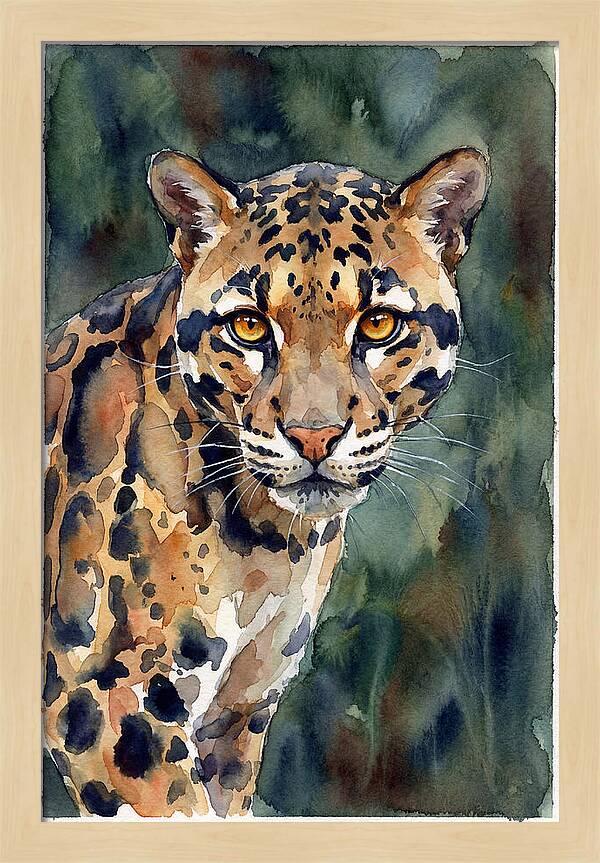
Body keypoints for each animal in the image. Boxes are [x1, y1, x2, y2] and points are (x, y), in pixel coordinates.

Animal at [43, 146, 490, 819]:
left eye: (379, 325)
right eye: (250, 327)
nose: (314, 436)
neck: (267, 542)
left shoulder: (235, 717)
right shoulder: (105, 702)